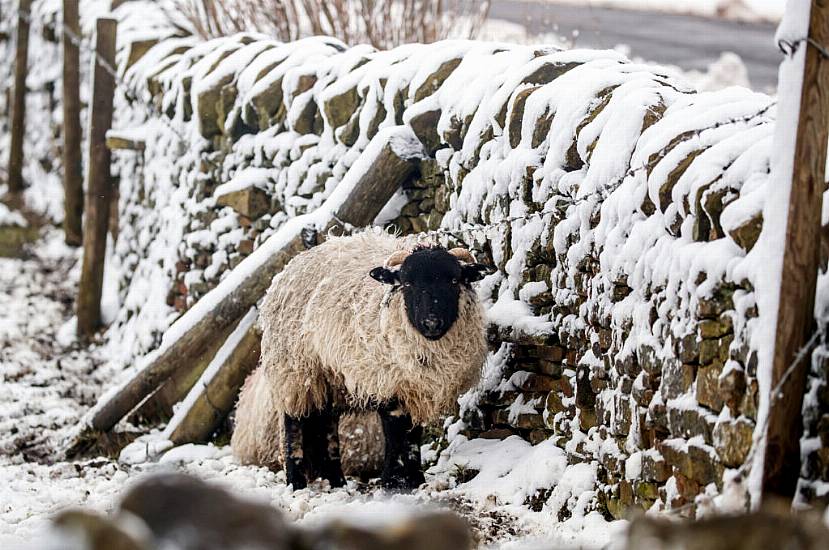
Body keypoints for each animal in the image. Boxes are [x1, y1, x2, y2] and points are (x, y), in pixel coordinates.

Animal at [231, 232, 492, 492]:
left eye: (454, 281)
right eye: (407, 283)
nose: (431, 323)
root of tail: (289, 268)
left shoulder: (412, 386)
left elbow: (413, 436)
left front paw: (415, 479)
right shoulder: (387, 381)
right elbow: (395, 431)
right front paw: (393, 481)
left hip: (330, 377)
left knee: (328, 426)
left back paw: (336, 481)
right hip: (294, 371)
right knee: (292, 424)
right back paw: (296, 483)